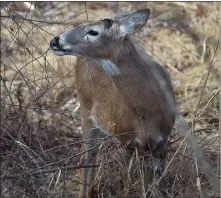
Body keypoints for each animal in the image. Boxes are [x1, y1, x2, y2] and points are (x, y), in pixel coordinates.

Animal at [50, 8, 176, 198]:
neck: (148, 114)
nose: (54, 41)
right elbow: (126, 183)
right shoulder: (125, 139)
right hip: (85, 110)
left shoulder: (162, 143)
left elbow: (152, 185)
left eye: (93, 31)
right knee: (86, 158)